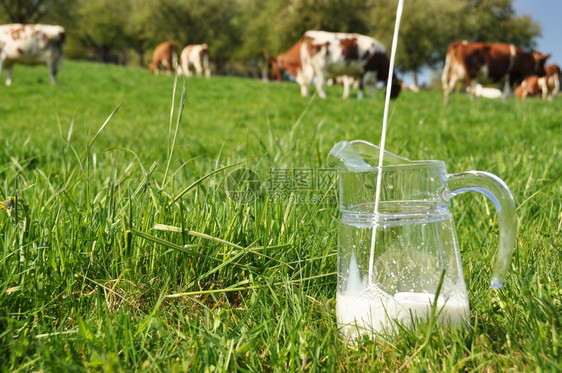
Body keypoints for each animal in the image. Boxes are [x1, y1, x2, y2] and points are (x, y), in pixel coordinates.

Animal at [270, 30, 398, 99]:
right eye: (397, 88)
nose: (393, 98)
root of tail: (308, 35)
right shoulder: (365, 71)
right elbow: (362, 86)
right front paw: (360, 99)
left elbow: (371, 88)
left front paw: (372, 99)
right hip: (320, 66)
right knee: (319, 83)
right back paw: (323, 97)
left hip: (311, 67)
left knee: (307, 81)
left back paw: (306, 95)